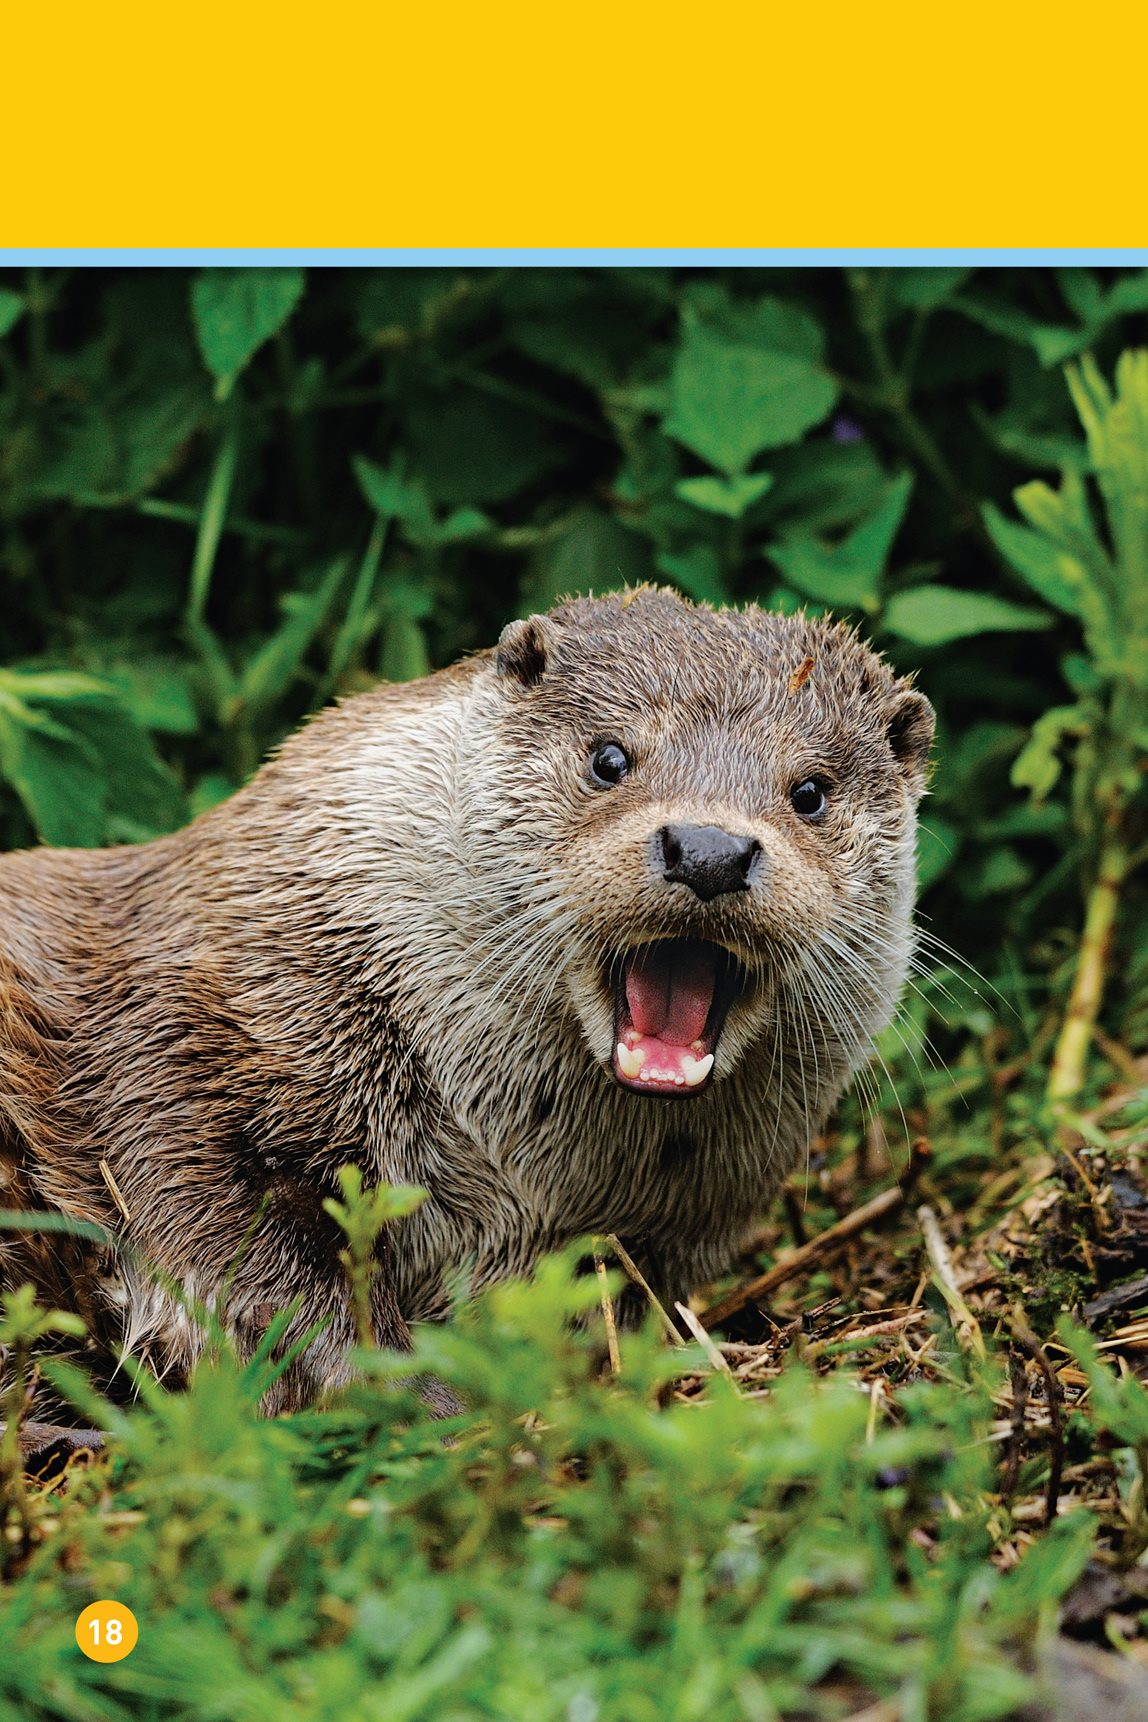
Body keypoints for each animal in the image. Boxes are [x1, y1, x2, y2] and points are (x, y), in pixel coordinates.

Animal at [0, 585, 936, 1405]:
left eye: (809, 792)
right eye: (610, 758)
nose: (709, 849)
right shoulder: (191, 1049)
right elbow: (228, 1242)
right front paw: (423, 1395)